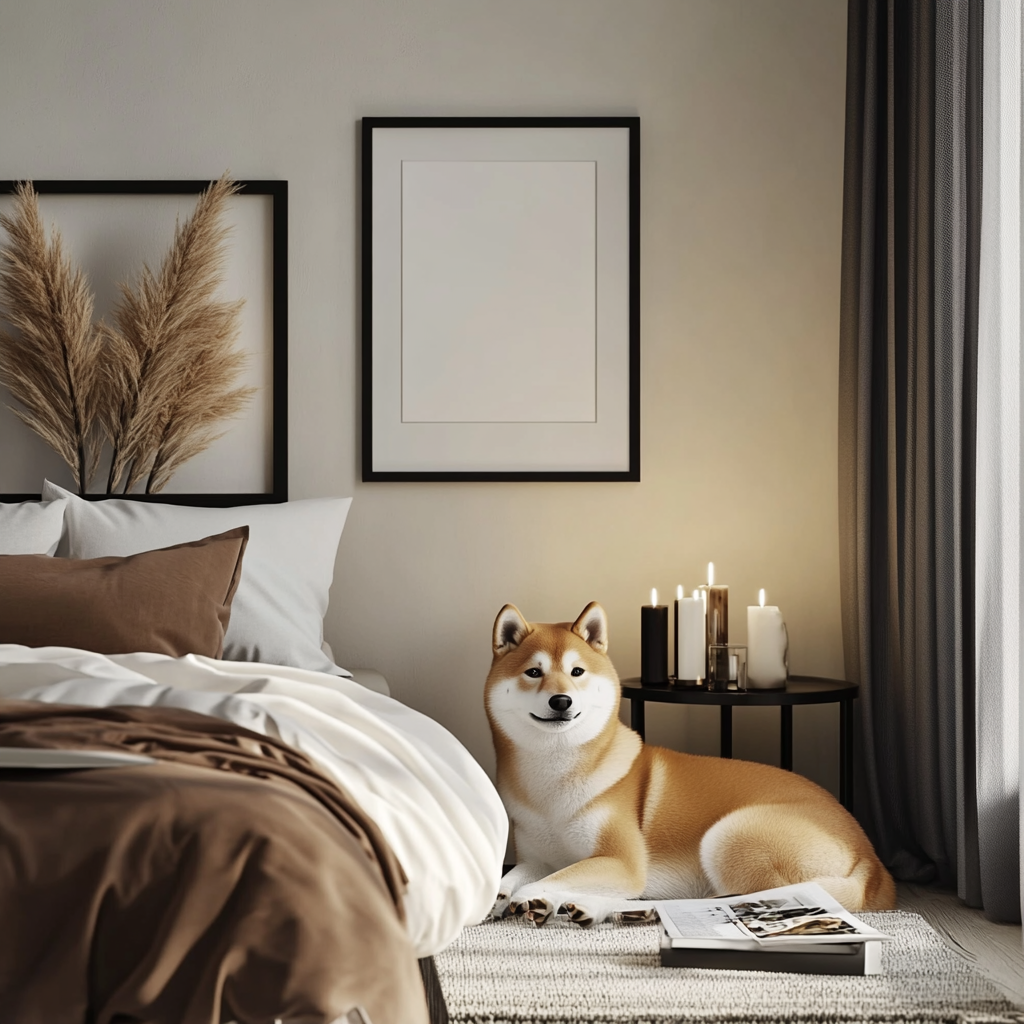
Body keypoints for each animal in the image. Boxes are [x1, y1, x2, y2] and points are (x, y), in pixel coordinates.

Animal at [483, 598, 892, 929]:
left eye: (577, 672)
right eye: (533, 672)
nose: (561, 701)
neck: (551, 781)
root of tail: (871, 858)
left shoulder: (623, 862)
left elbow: (555, 877)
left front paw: (533, 897)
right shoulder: (538, 856)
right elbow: (516, 875)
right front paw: (498, 895)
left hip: (730, 835)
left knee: (741, 899)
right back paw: (629, 909)